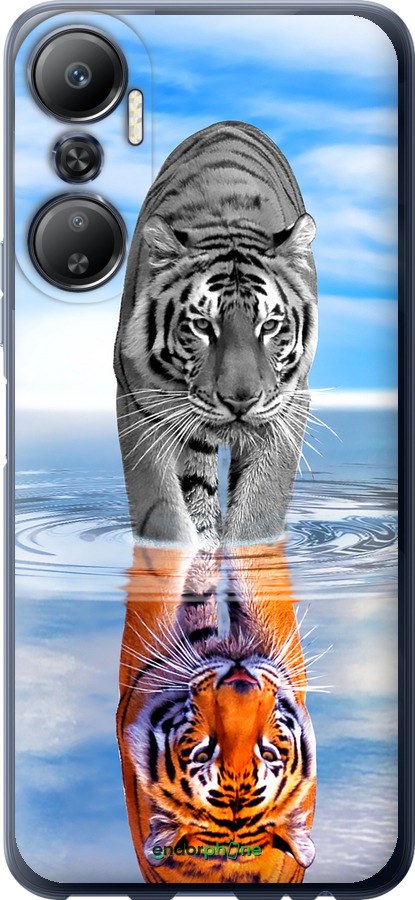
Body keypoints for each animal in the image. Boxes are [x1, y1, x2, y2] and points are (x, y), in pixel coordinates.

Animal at [114, 121, 318, 549]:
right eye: (202, 326)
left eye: (269, 326)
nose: (240, 401)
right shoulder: (138, 401)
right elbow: (162, 512)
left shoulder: (289, 404)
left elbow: (260, 509)